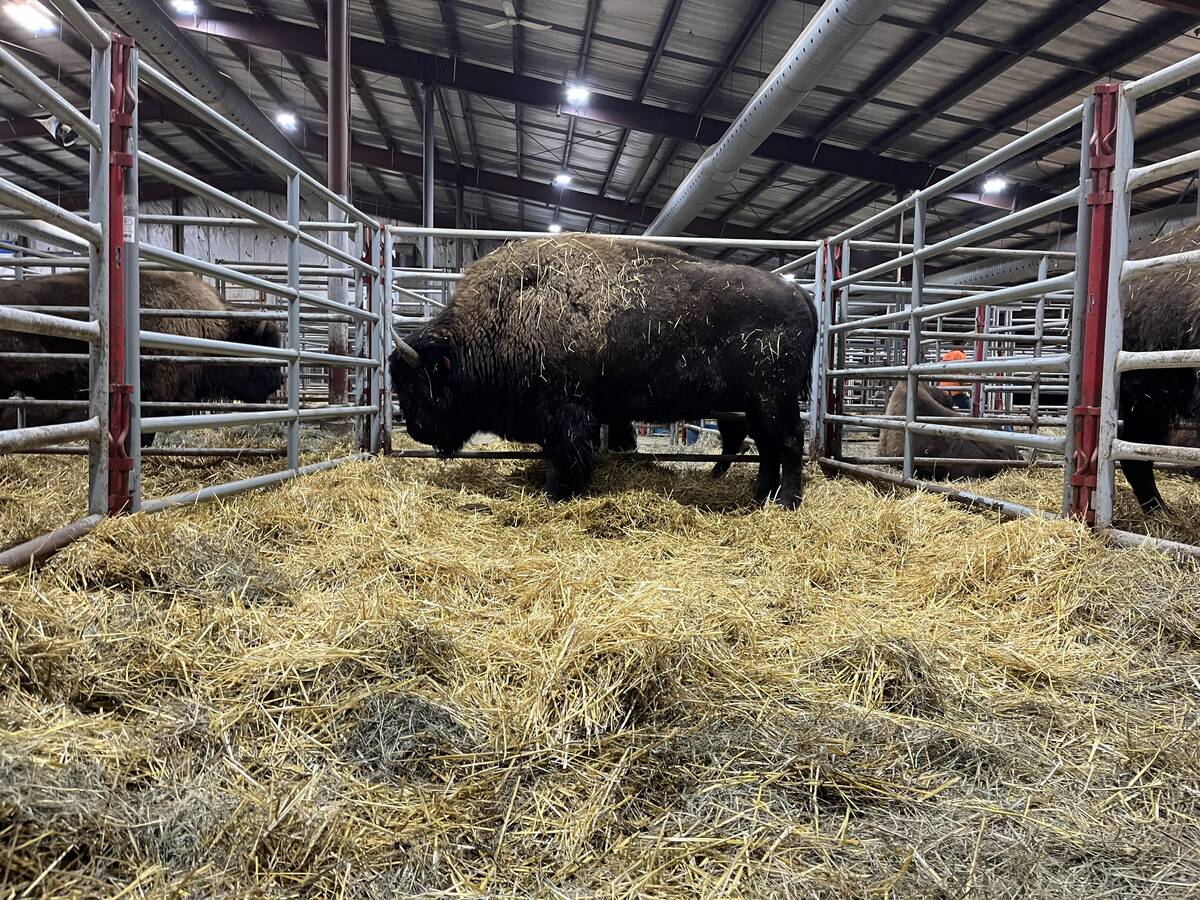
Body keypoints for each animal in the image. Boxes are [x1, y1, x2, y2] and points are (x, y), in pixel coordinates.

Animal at [391, 234, 817, 507]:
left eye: (418, 385)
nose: (415, 430)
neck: (503, 317)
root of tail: (800, 293)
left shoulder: (565, 410)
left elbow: (567, 454)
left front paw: (557, 493)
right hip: (753, 404)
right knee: (766, 448)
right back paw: (759, 498)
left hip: (772, 398)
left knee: (789, 442)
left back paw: (786, 502)